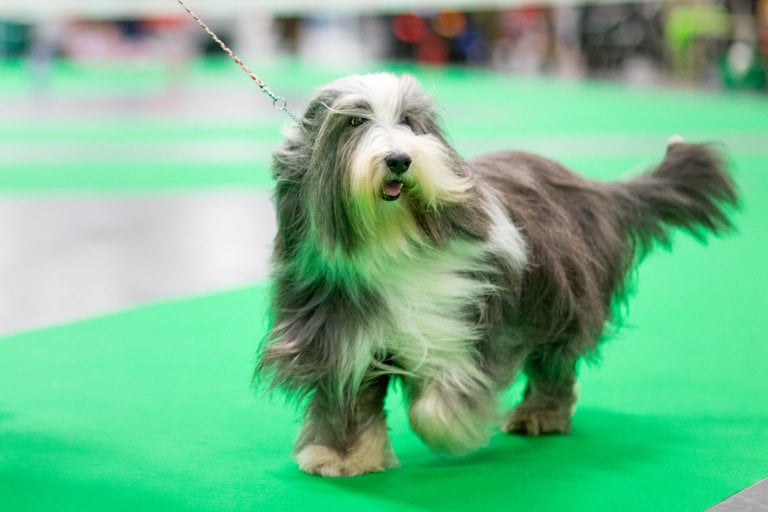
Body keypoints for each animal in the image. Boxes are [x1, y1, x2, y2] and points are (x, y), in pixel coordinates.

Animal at [256, 72, 736, 476]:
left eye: (409, 122)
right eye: (354, 122)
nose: (398, 160)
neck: (391, 243)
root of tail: (599, 191)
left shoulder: (471, 317)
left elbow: (442, 395)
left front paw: (452, 426)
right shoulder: (338, 332)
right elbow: (350, 399)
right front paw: (340, 458)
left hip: (560, 301)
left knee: (555, 365)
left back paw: (539, 416)